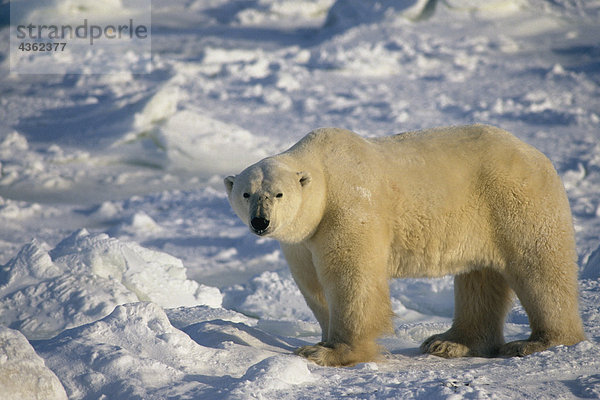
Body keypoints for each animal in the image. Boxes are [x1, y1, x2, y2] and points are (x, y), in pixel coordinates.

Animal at [223, 125, 584, 366]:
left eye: (278, 193)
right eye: (246, 193)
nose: (260, 222)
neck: (325, 169)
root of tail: (536, 154)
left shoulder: (350, 208)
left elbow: (351, 279)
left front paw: (328, 351)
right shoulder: (303, 239)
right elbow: (314, 285)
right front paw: (322, 339)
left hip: (515, 201)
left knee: (540, 268)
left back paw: (536, 343)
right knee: (480, 278)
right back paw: (450, 343)